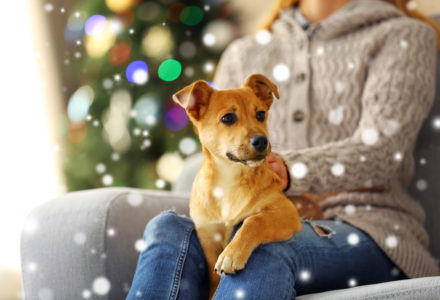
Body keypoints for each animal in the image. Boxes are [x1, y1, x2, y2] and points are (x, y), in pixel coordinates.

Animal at [172, 74, 302, 296]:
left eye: (261, 114)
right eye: (228, 118)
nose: (262, 141)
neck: (230, 177)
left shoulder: (288, 211)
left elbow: (254, 220)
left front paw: (231, 255)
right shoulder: (208, 235)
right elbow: (213, 276)